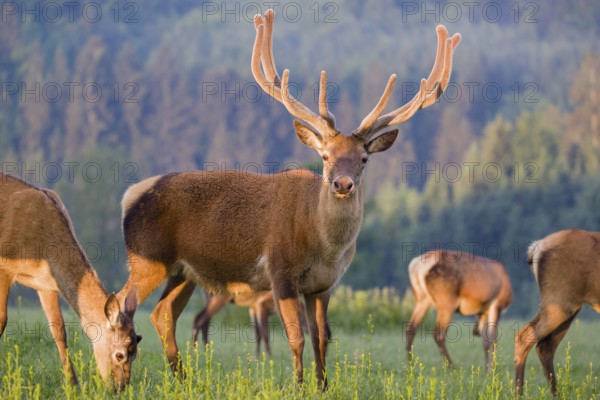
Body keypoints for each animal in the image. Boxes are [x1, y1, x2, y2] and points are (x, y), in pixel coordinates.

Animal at [0, 173, 142, 390]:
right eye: (120, 354)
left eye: (135, 353)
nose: (120, 388)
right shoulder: (4, 266)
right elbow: (2, 319)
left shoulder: (46, 284)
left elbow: (59, 330)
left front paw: (73, 384)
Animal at [117, 8, 462, 384]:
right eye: (324, 155)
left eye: (364, 158)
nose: (342, 184)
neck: (323, 247)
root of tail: (128, 196)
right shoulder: (279, 271)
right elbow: (295, 336)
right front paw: (298, 384)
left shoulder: (324, 285)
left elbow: (321, 337)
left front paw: (323, 384)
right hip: (147, 258)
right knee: (119, 305)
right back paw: (121, 373)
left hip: (183, 271)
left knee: (162, 314)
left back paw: (182, 377)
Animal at [512, 230, 600, 396]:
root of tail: (537, 246)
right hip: (559, 300)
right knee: (524, 336)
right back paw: (518, 394)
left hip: (567, 306)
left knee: (545, 346)